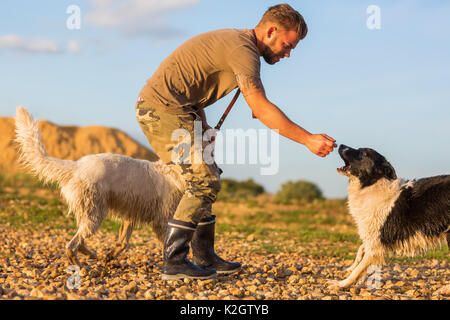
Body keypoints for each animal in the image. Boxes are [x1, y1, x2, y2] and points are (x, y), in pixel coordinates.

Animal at [326, 144, 450, 290]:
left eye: (363, 153)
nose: (340, 145)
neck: (371, 185)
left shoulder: (376, 245)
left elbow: (359, 269)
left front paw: (340, 284)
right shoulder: (374, 236)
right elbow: (361, 250)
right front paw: (350, 268)